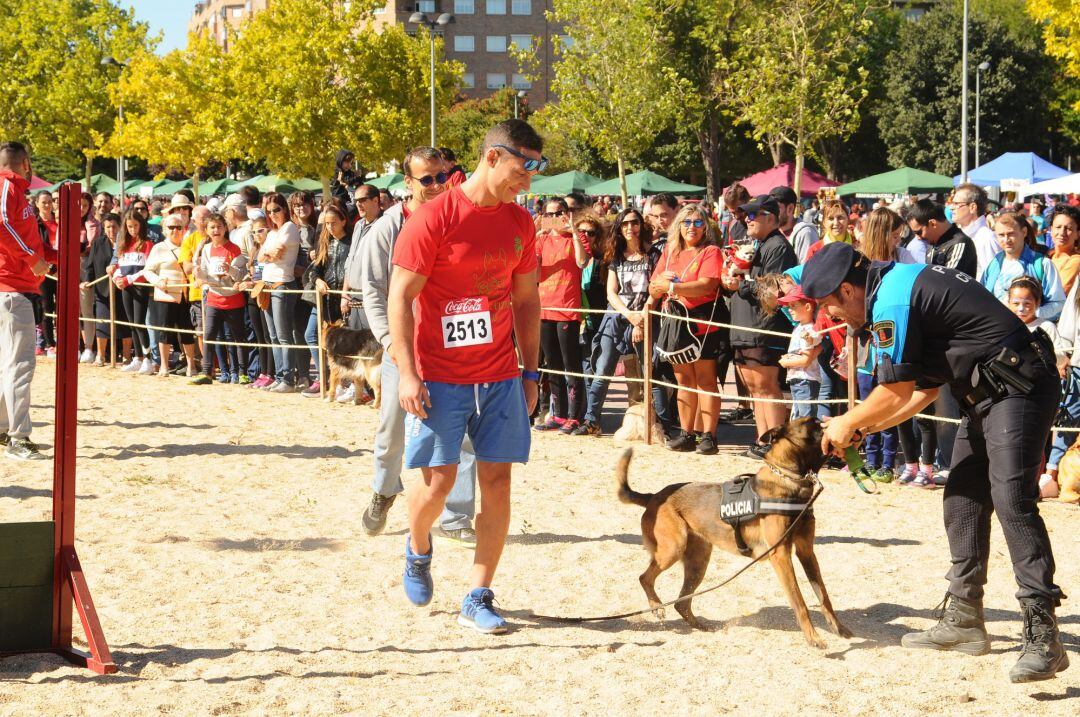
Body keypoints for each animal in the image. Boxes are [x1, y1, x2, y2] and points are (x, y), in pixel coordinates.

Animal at [617, 416, 851, 647]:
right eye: (813, 424)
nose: (836, 427)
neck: (787, 478)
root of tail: (653, 496)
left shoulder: (806, 552)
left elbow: (824, 596)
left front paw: (838, 628)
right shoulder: (781, 555)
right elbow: (800, 601)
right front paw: (813, 638)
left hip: (698, 563)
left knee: (681, 603)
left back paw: (700, 626)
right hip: (672, 550)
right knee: (645, 578)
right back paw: (656, 606)